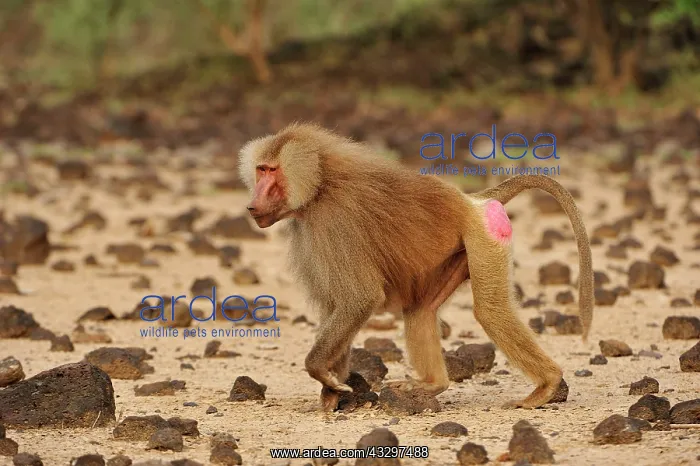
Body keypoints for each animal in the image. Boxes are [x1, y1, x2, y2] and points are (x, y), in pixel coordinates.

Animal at [238, 122, 593, 412]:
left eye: (271, 171)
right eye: (260, 170)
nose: (252, 205)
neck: (321, 183)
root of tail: (472, 200)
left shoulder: (335, 223)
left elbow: (359, 299)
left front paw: (321, 375)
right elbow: (335, 306)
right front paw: (331, 392)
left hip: (484, 238)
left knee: (491, 310)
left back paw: (547, 385)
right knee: (421, 310)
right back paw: (432, 385)